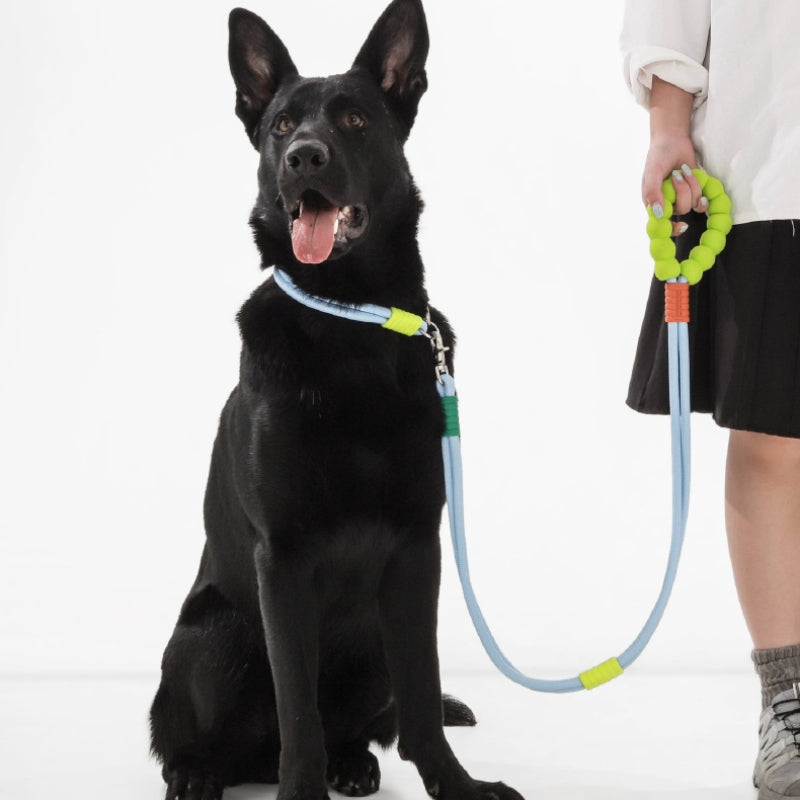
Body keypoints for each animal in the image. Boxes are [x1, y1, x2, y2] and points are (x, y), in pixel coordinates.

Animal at [150, 3, 524, 796]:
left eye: (355, 120)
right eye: (282, 126)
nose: (305, 159)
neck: (348, 322)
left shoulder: (416, 552)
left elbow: (421, 697)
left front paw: (456, 784)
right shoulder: (283, 560)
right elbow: (298, 712)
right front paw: (301, 787)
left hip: (370, 638)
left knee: (371, 720)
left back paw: (355, 763)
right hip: (212, 635)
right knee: (195, 737)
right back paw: (199, 773)